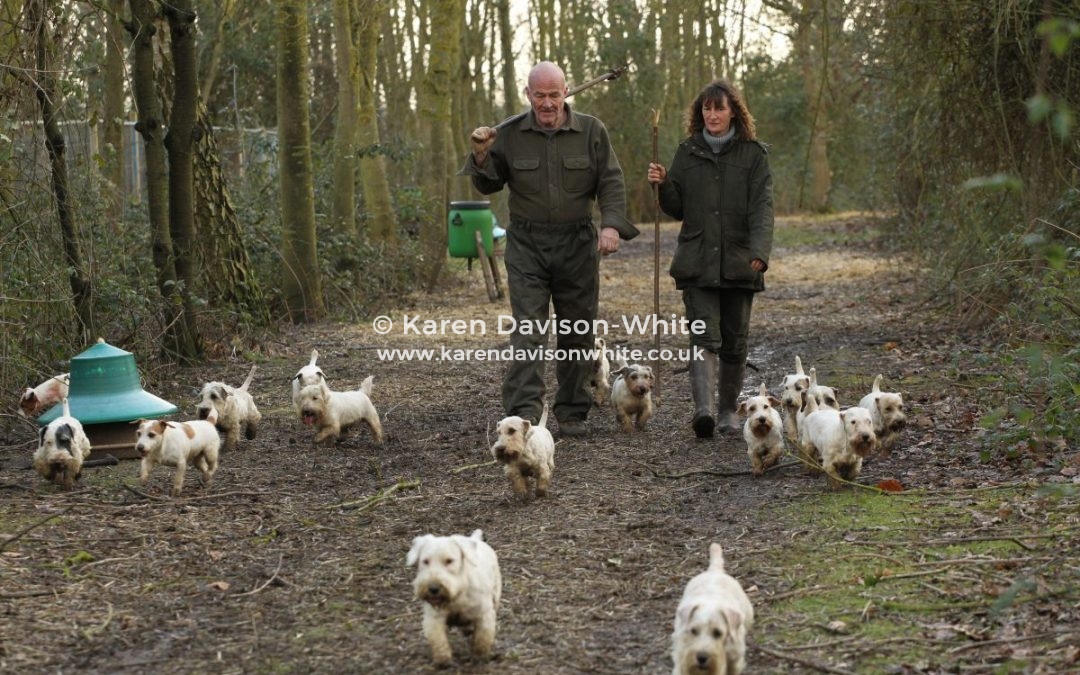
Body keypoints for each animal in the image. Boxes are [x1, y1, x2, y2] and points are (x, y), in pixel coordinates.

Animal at [406, 527, 503, 665]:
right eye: (425, 561)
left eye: (449, 561)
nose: (433, 588)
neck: (457, 593)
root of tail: (475, 539)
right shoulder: (434, 617)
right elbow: (437, 638)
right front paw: (443, 660)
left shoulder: (484, 614)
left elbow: (482, 638)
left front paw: (480, 657)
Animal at [669, 542, 756, 673]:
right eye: (693, 630)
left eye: (718, 633)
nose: (701, 657)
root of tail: (715, 571)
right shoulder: (682, 660)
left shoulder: (735, 659)